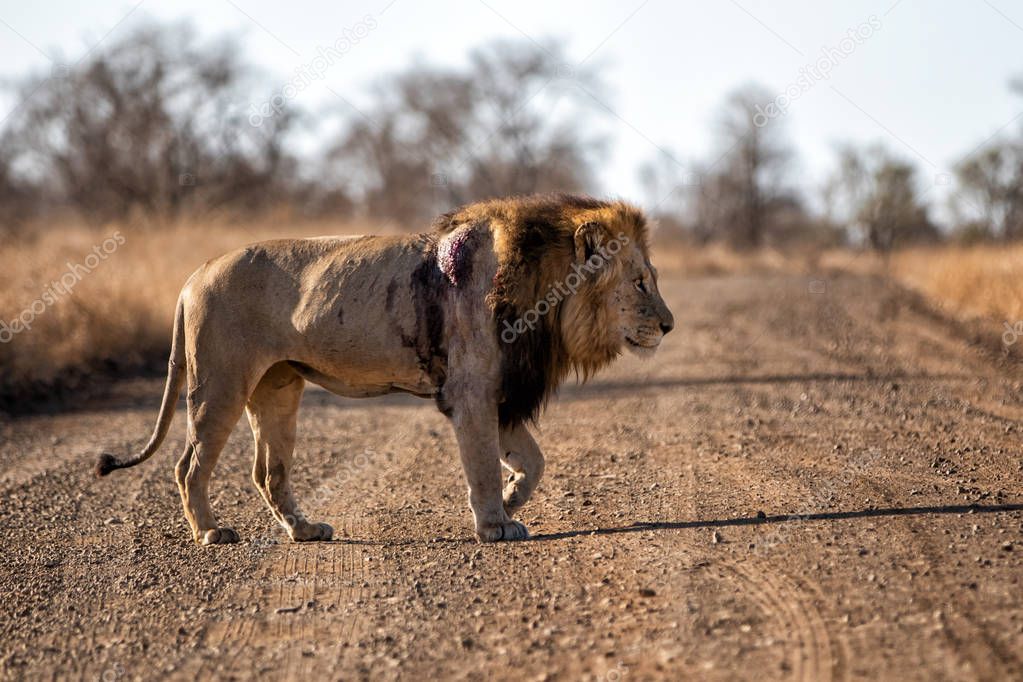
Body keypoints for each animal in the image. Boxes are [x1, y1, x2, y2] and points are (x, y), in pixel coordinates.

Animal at [94, 194, 671, 548]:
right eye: (640, 282)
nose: (669, 325)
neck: (545, 293)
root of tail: (196, 273)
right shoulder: (472, 390)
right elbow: (484, 464)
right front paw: (493, 525)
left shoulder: (498, 391)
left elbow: (533, 461)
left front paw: (510, 503)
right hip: (220, 386)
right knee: (188, 466)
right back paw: (212, 533)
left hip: (278, 388)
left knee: (268, 472)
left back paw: (305, 530)